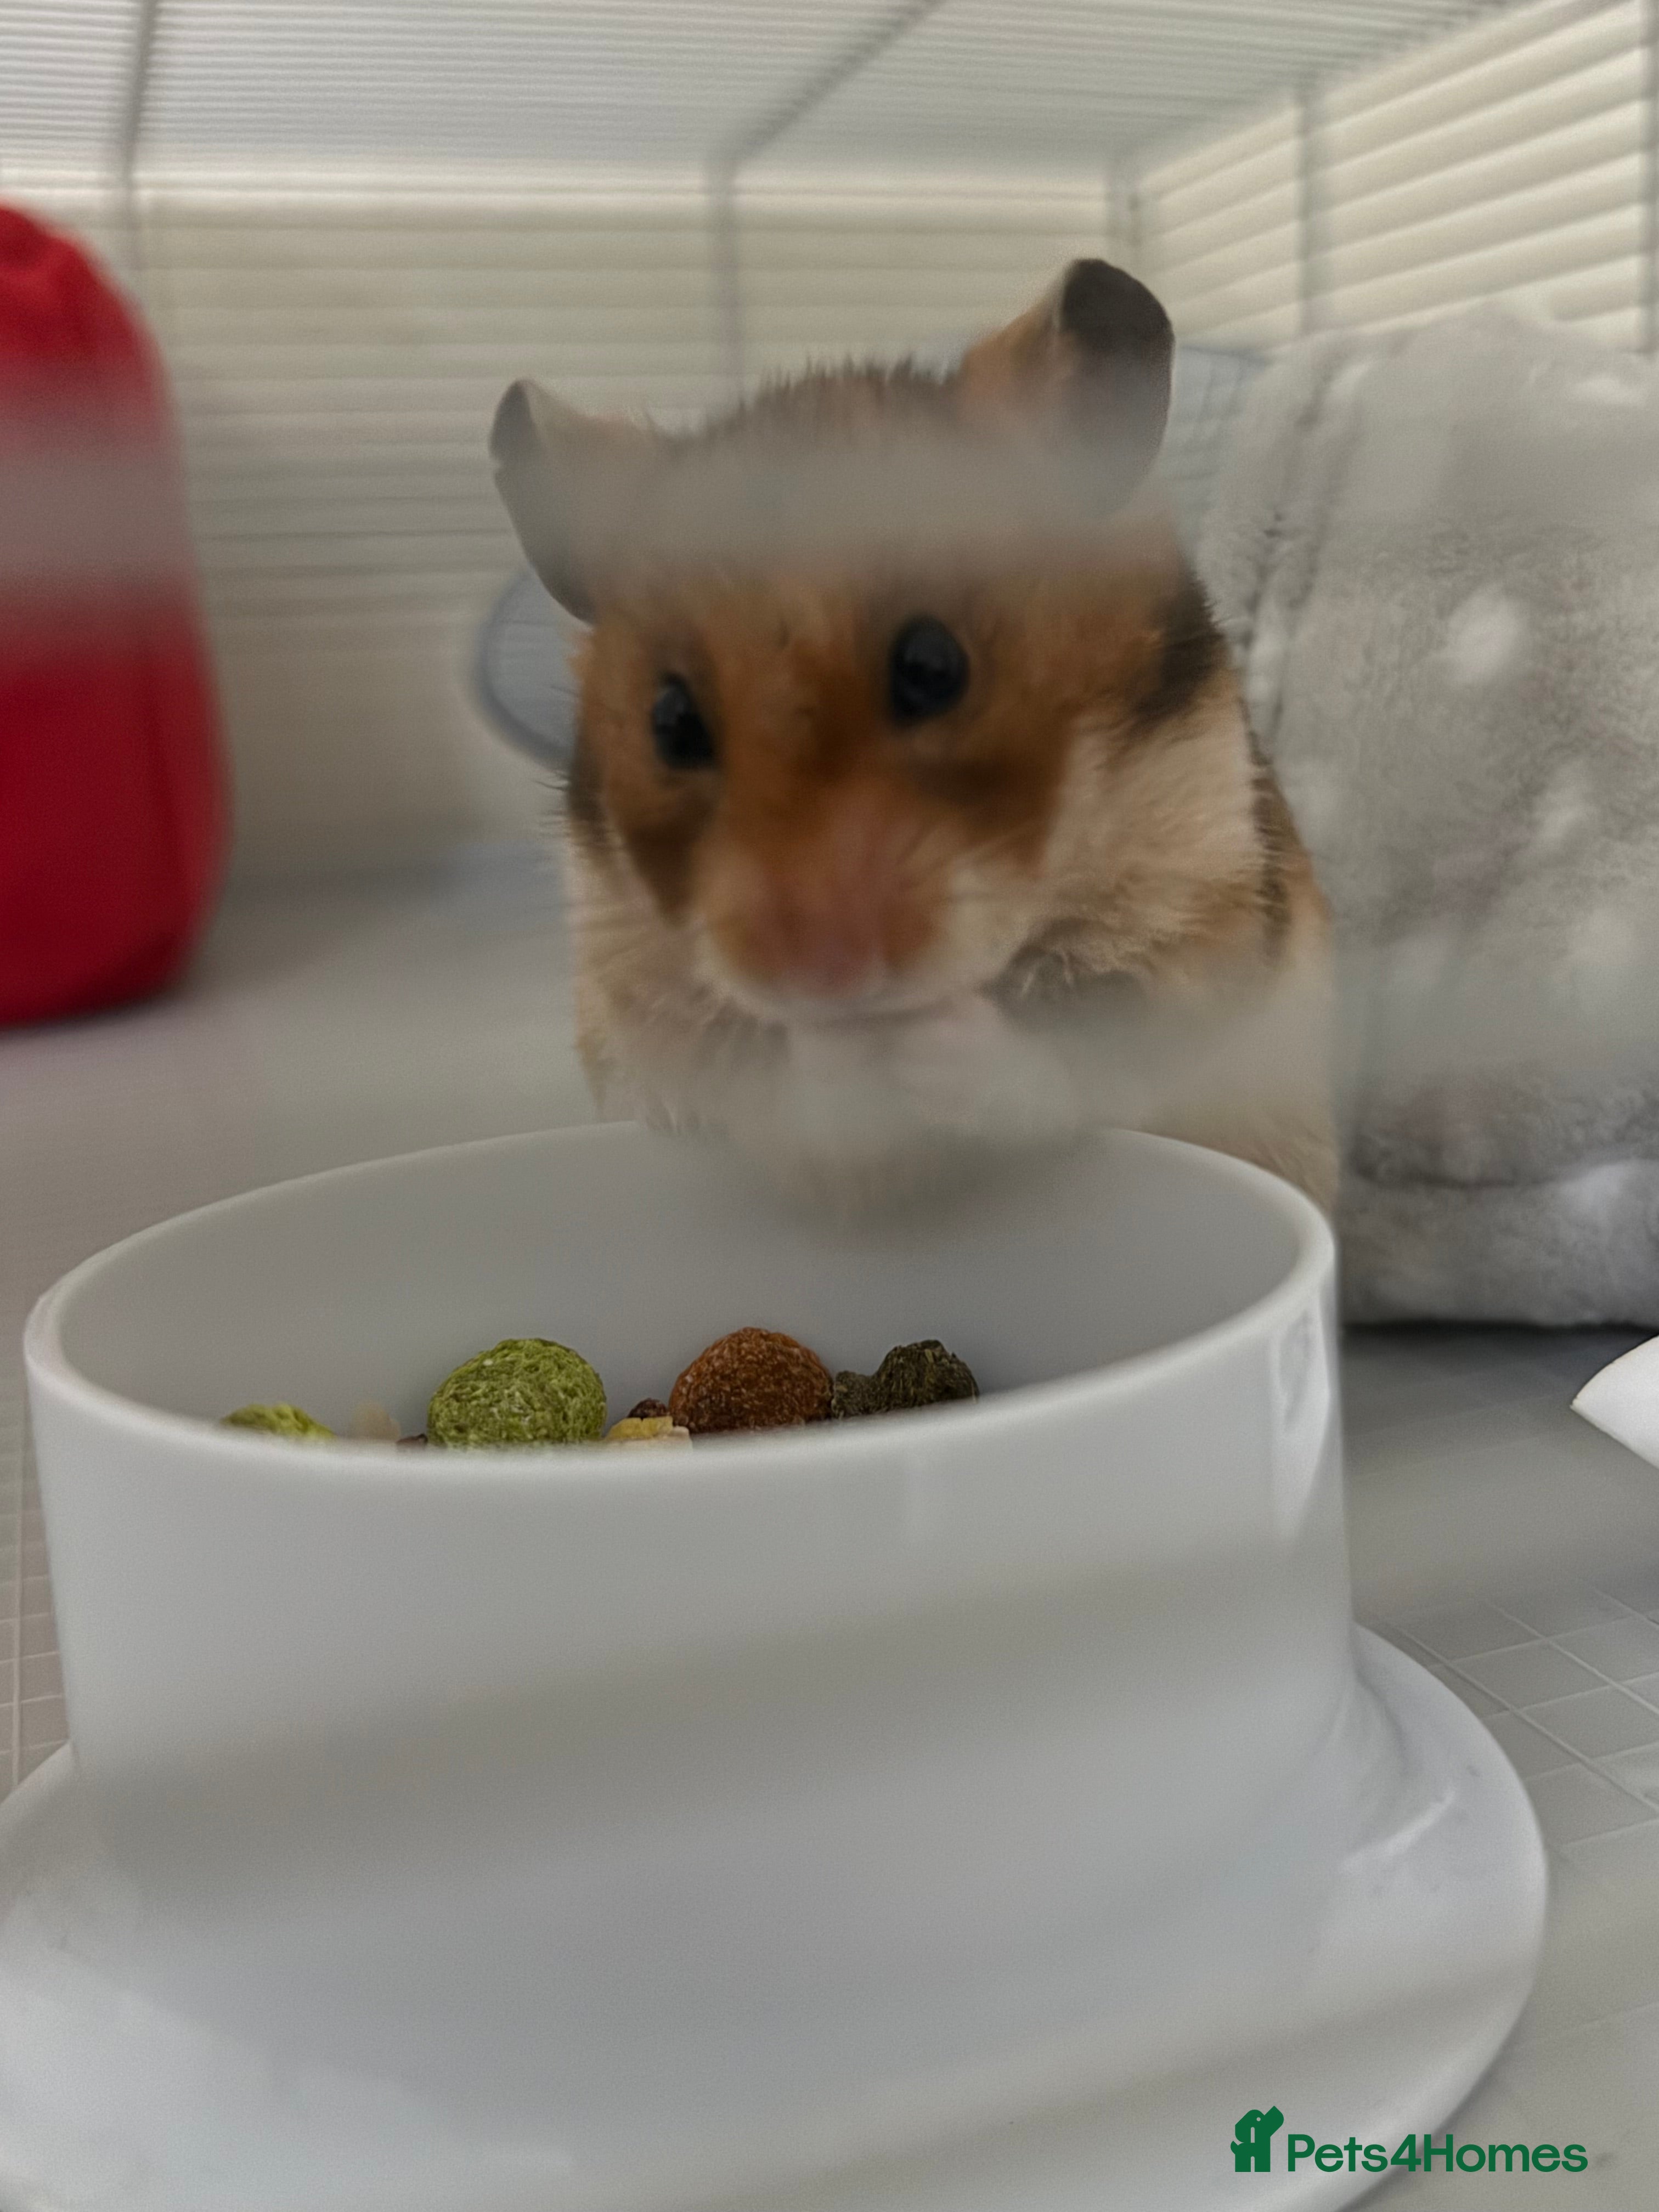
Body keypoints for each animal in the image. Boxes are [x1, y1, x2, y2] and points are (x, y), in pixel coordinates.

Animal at [491, 259, 1336, 1212]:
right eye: (670, 722)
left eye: (934, 667)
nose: (823, 977)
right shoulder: (635, 999)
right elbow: (777, 1086)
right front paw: (841, 1049)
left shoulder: (1195, 935)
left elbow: (1056, 1059)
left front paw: (930, 1040)